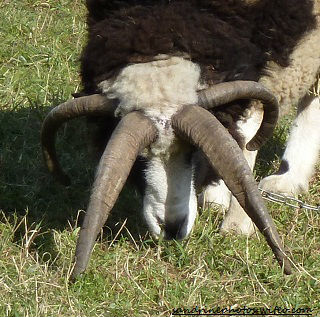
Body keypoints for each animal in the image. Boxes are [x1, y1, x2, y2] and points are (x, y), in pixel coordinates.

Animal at [41, 0, 318, 276]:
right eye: (138, 160)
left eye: (195, 153)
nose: (172, 228)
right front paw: (216, 197)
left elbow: (249, 130)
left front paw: (237, 226)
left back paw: (287, 179)